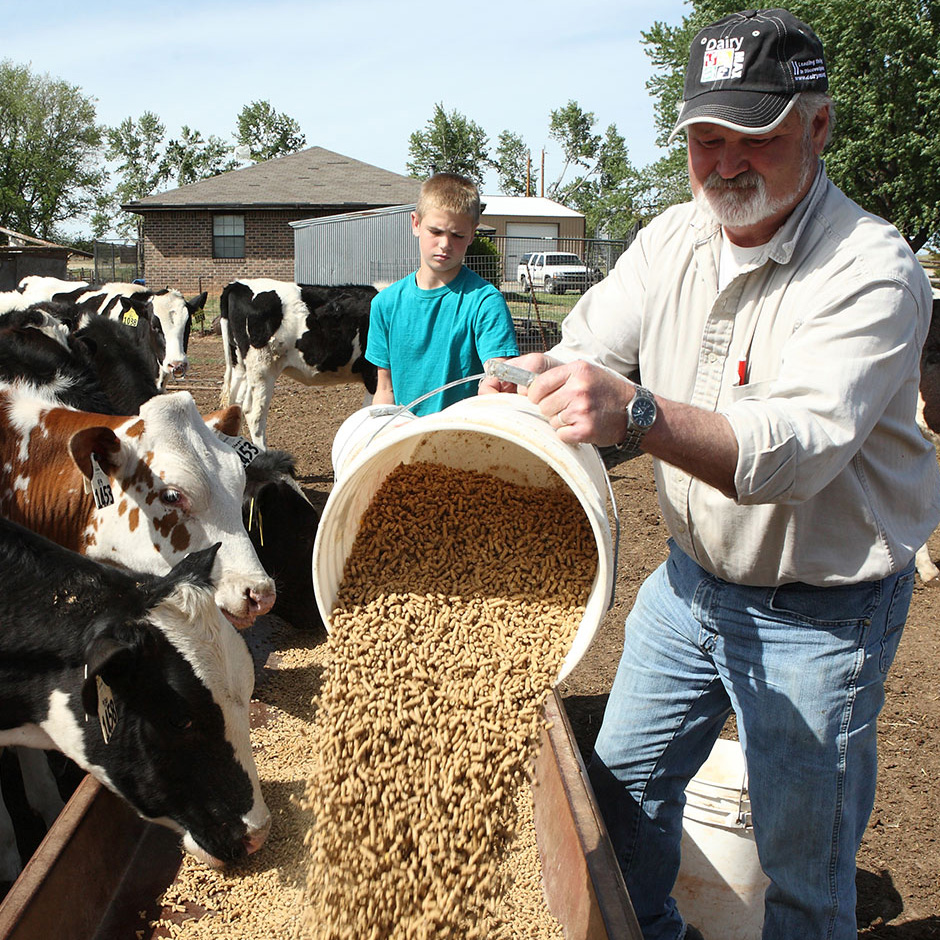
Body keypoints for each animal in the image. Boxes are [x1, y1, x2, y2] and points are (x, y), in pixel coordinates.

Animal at [219, 280, 378, 448]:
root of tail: (238, 284)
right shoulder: (374, 374)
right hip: (262, 368)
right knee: (253, 413)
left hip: (240, 366)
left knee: (234, 405)